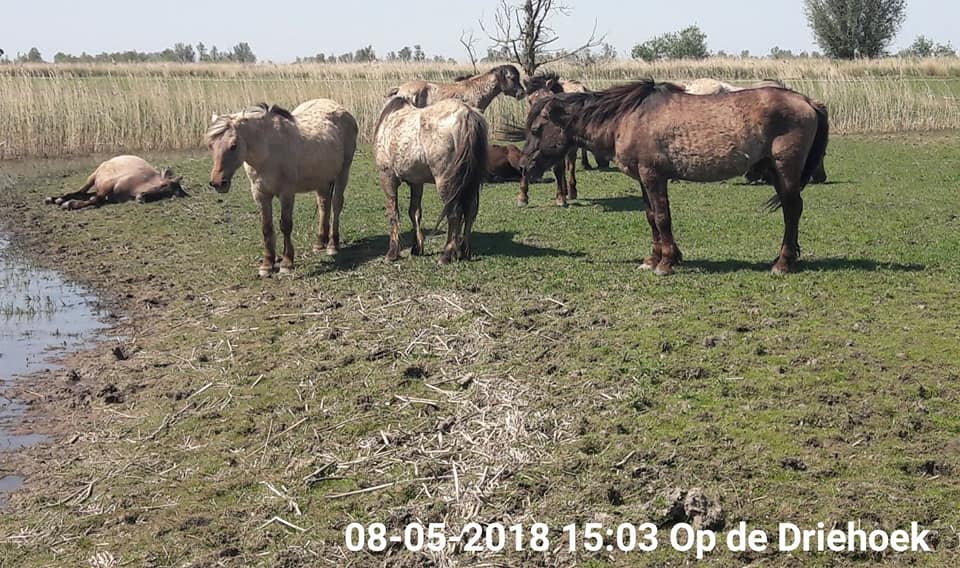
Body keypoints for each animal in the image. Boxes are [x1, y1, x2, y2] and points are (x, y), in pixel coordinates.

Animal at [45, 155, 187, 210]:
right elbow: (96, 199)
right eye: (163, 185)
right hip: (93, 177)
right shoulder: (108, 185)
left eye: (169, 195)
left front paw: (71, 204)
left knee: (83, 194)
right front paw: (70, 204)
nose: (142, 197)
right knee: (79, 191)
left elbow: (95, 199)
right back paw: (55, 199)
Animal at [206, 100, 358, 277]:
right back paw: (320, 242)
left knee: (336, 204)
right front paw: (266, 265)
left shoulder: (286, 193)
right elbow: (266, 228)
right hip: (322, 180)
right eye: (211, 146)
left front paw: (286, 263)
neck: (269, 151)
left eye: (233, 145)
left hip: (343, 172)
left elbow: (285, 225)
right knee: (323, 205)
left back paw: (333, 245)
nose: (218, 183)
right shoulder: (260, 194)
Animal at [374, 97, 487, 264]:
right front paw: (417, 248)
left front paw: (392, 253)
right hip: (470, 183)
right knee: (470, 211)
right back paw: (464, 252)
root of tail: (467, 114)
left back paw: (446, 255)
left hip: (446, 182)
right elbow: (414, 212)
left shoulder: (387, 177)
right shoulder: (416, 182)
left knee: (454, 213)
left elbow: (393, 213)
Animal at [519, 79, 829, 276]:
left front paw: (666, 263)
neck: (629, 117)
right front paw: (654, 258)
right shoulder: (643, 179)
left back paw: (783, 263)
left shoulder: (653, 176)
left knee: (792, 210)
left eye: (536, 129)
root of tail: (807, 101)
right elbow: (651, 217)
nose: (523, 166)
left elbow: (662, 217)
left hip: (785, 170)